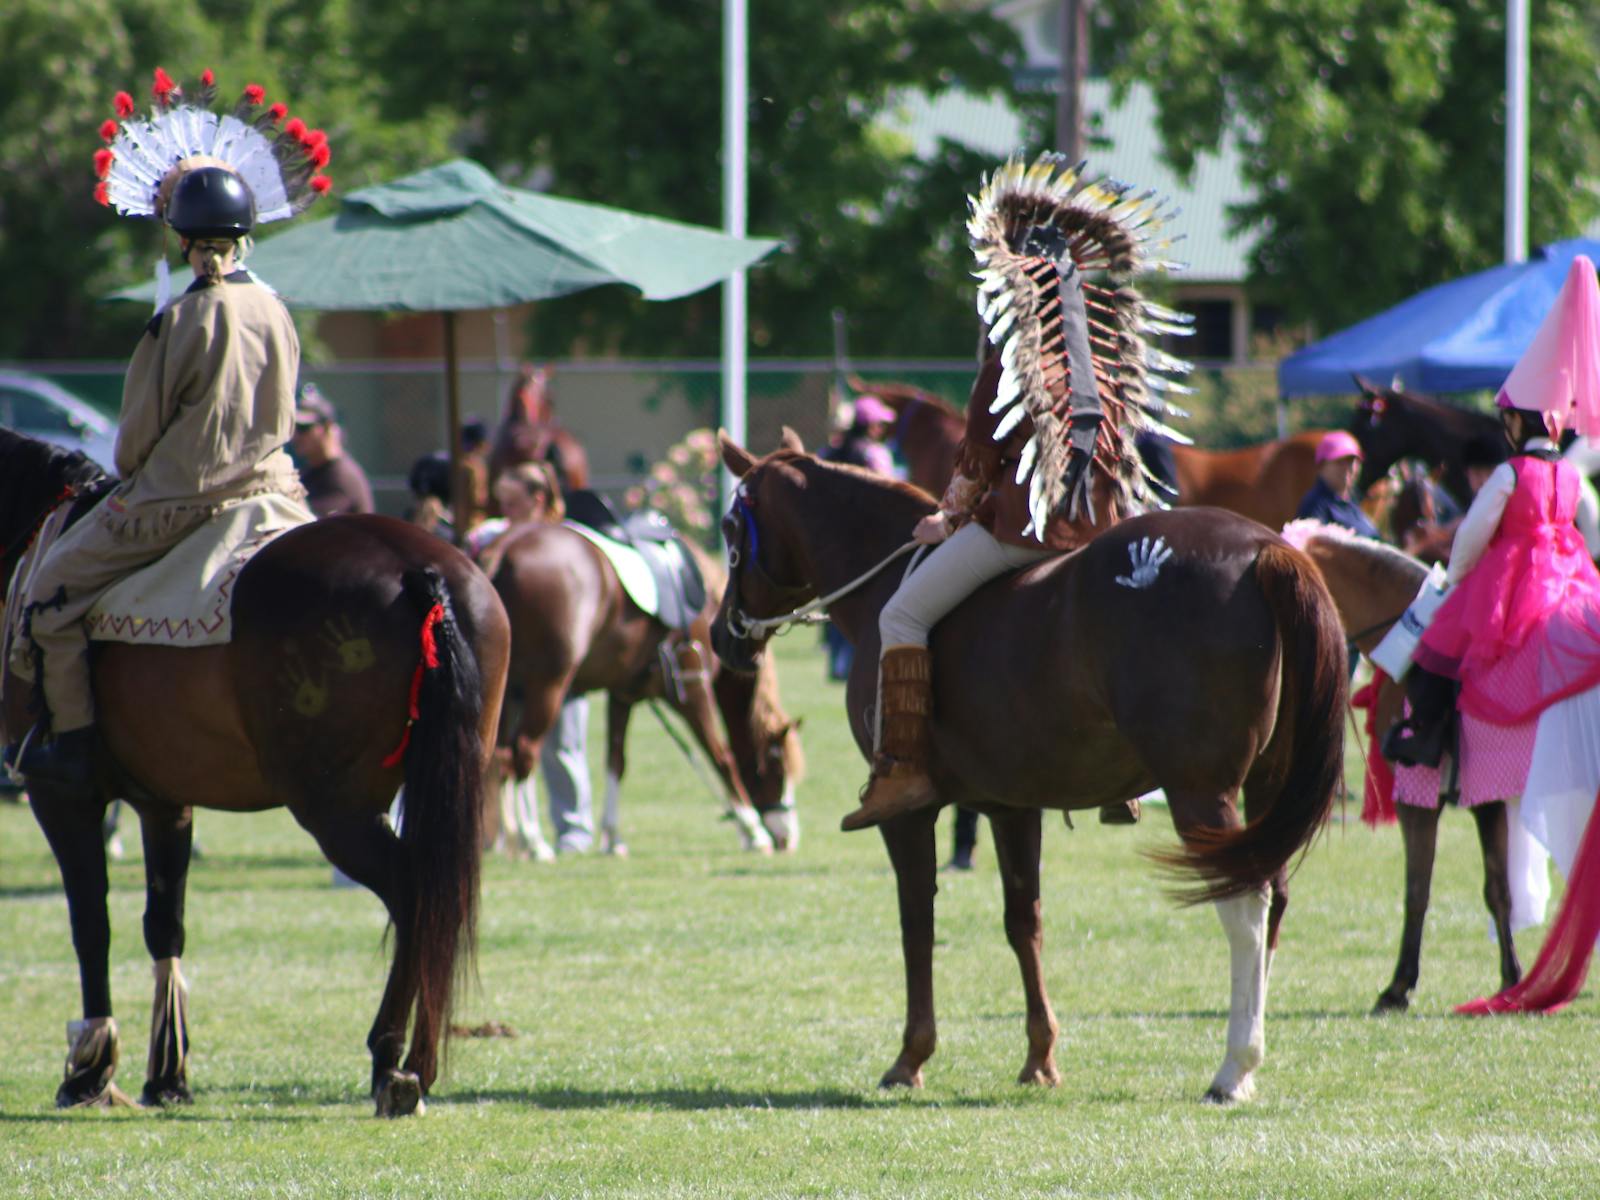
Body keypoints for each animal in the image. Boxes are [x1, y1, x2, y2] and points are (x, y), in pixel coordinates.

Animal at [0, 428, 508, 1120]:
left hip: (336, 812)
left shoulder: (62, 796)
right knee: (437, 901)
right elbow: (164, 924)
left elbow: (91, 925)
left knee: (415, 895)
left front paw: (90, 1072)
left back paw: (391, 1060)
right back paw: (418, 1064)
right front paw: (167, 1075)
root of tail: (419, 574)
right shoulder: (165, 802)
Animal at [476, 524, 796, 857]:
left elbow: (616, 762)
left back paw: (510, 839)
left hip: (507, 695)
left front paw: (612, 836)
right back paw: (534, 840)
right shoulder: (693, 689)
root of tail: (504, 547)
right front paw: (753, 830)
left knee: (500, 757)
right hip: (546, 687)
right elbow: (721, 756)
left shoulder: (622, 696)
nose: (788, 838)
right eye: (777, 769)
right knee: (524, 753)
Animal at [707, 432, 1344, 1107]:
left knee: (1245, 904)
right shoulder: (1012, 807)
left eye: (729, 526)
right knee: (1272, 894)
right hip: (1264, 788)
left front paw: (910, 1057)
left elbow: (916, 922)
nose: (723, 637)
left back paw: (1233, 1066)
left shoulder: (907, 814)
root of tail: (1265, 549)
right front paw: (1040, 1057)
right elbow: (1024, 923)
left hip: (1202, 793)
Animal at [1286, 524, 1523, 1017]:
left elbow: (1418, 891)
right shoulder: (1487, 800)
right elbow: (1498, 890)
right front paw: (1512, 982)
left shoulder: (1422, 799)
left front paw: (1398, 987)